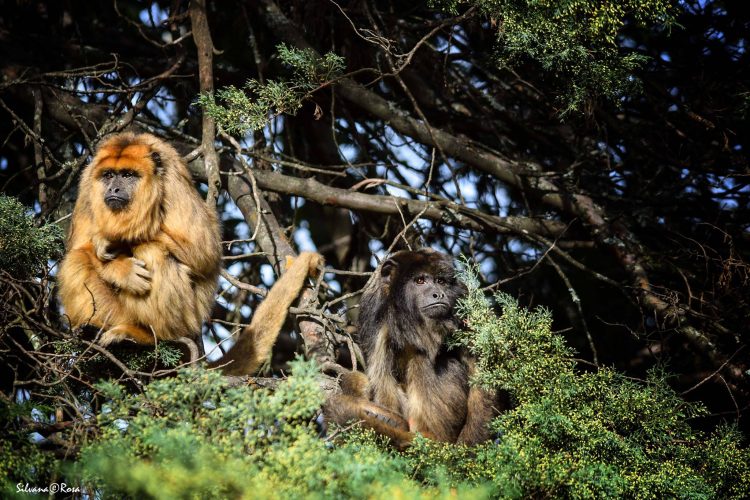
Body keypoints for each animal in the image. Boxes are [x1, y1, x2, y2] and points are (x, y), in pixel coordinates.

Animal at [326, 248, 502, 448]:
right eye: (420, 280)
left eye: (440, 281)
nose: (438, 294)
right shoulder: (373, 310)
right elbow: (381, 374)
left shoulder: (463, 298)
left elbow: (482, 369)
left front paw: (469, 447)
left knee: (423, 359)